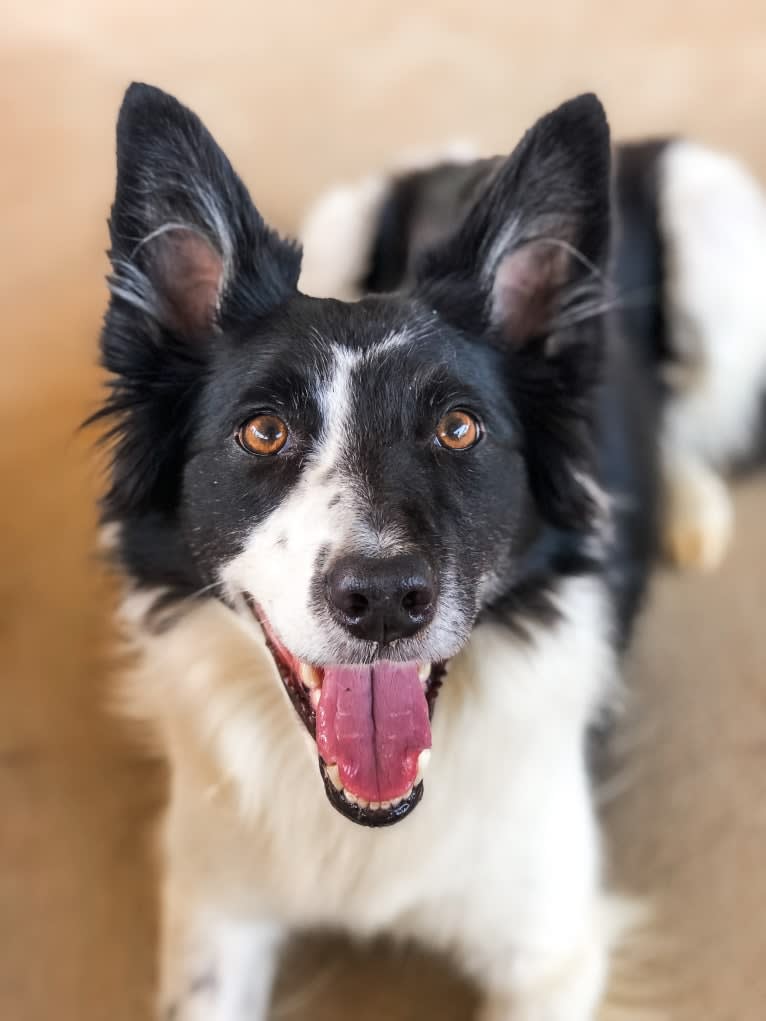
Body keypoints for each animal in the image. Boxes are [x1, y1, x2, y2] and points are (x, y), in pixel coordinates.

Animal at [94, 83, 766, 1016]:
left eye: (459, 428)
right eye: (263, 431)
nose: (381, 598)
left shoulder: (549, 952)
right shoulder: (213, 913)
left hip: (720, 228)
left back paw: (690, 505)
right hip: (344, 214)